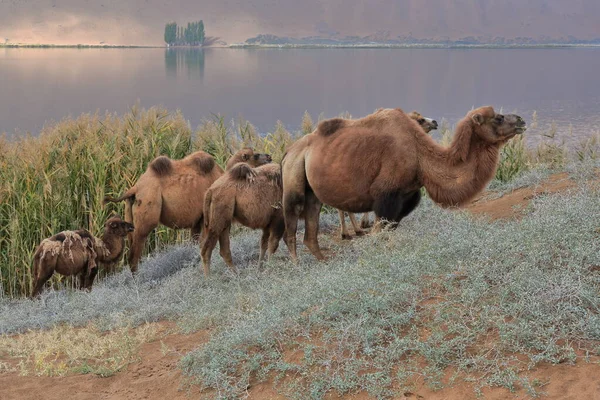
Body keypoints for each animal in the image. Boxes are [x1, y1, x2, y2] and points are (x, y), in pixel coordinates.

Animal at [104, 148, 270, 274]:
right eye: (255, 155)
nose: (269, 156)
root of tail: (135, 188)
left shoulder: (196, 220)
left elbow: (194, 242)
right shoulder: (204, 217)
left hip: (130, 212)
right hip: (148, 206)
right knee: (135, 250)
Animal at [282, 106, 524, 262]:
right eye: (498, 118)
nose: (521, 120)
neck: (419, 157)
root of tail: (288, 151)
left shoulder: (407, 197)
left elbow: (390, 229)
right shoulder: (385, 195)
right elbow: (378, 232)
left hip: (312, 190)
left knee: (311, 226)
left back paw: (322, 260)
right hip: (293, 178)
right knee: (291, 224)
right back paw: (297, 264)